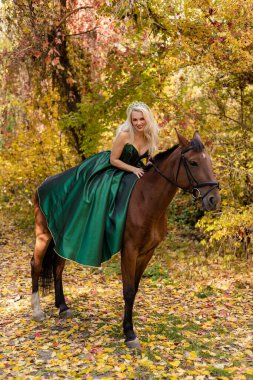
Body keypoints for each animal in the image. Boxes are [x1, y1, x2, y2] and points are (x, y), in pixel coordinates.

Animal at [30, 130, 220, 348]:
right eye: (193, 163)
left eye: (209, 161)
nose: (214, 199)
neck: (146, 199)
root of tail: (42, 185)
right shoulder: (129, 250)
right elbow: (128, 290)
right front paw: (129, 333)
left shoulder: (147, 252)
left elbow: (135, 289)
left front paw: (128, 327)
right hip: (44, 235)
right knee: (36, 264)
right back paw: (37, 311)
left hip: (63, 240)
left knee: (58, 266)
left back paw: (62, 306)